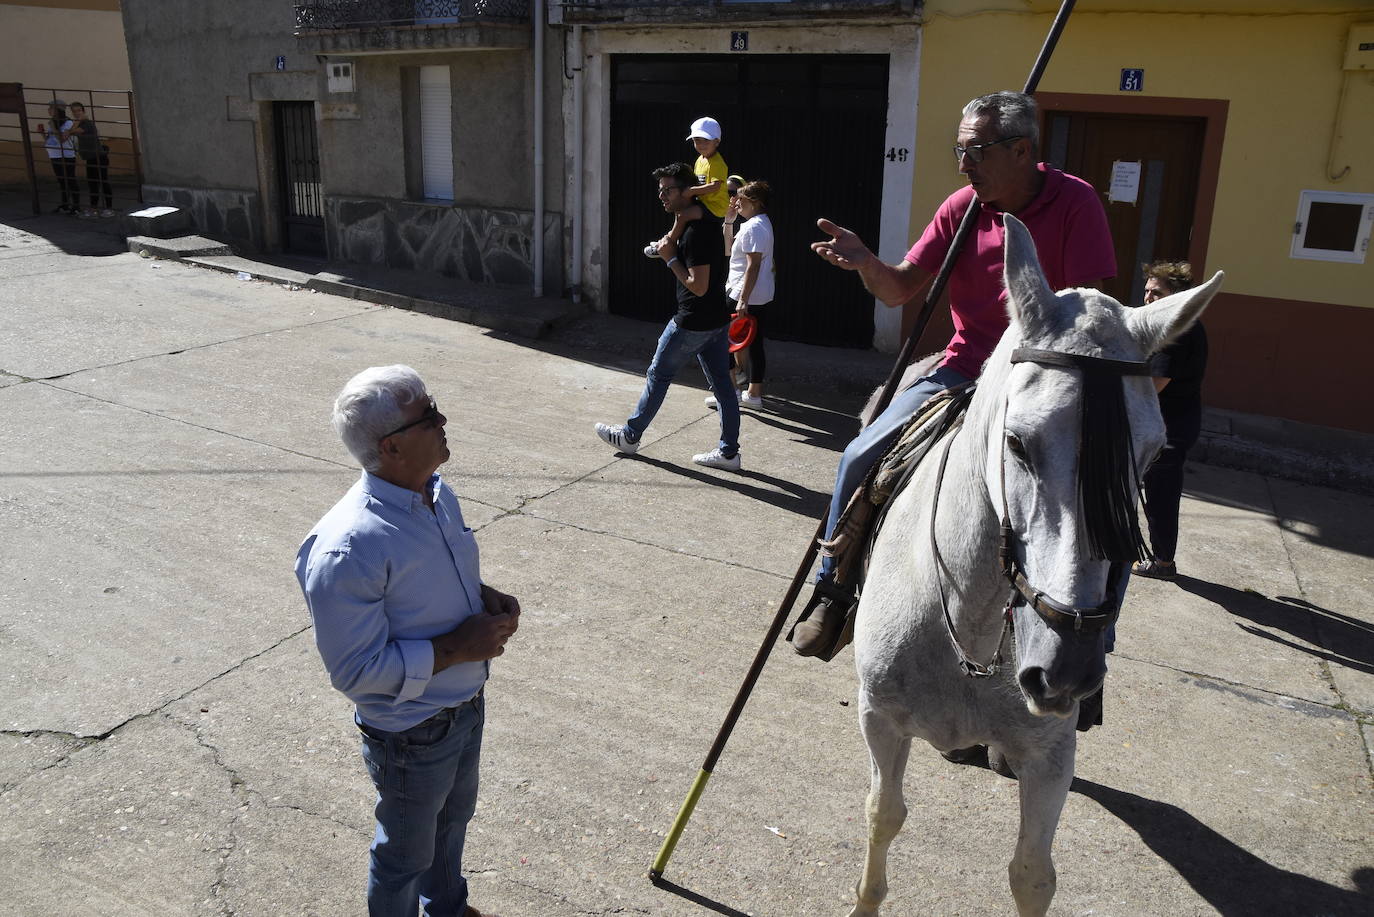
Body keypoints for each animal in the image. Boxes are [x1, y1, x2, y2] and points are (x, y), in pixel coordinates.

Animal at [846, 217, 1225, 917]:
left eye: (1152, 453)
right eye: (1017, 443)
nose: (1065, 670)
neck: (969, 625)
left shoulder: (1051, 759)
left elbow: (1032, 873)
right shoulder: (880, 722)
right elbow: (883, 815)